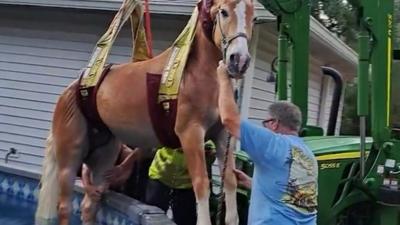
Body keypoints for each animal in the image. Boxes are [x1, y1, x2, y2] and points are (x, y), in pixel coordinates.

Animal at [34, 0, 253, 225]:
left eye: (252, 17)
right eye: (224, 12)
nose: (239, 60)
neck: (193, 75)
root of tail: (70, 89)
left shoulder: (222, 135)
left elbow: (230, 180)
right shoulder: (191, 134)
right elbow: (201, 183)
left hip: (104, 155)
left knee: (88, 205)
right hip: (70, 155)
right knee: (64, 206)